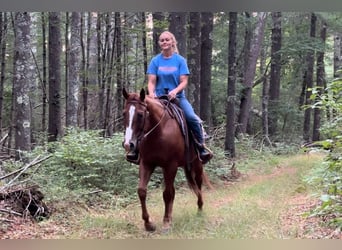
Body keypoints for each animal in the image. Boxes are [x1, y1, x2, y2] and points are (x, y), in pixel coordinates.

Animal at [121, 88, 210, 232]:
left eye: (140, 114)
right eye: (124, 113)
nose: (129, 144)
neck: (159, 131)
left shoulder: (170, 166)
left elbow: (167, 193)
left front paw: (166, 222)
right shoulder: (146, 163)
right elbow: (142, 191)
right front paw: (148, 223)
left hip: (196, 163)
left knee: (198, 183)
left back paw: (200, 209)